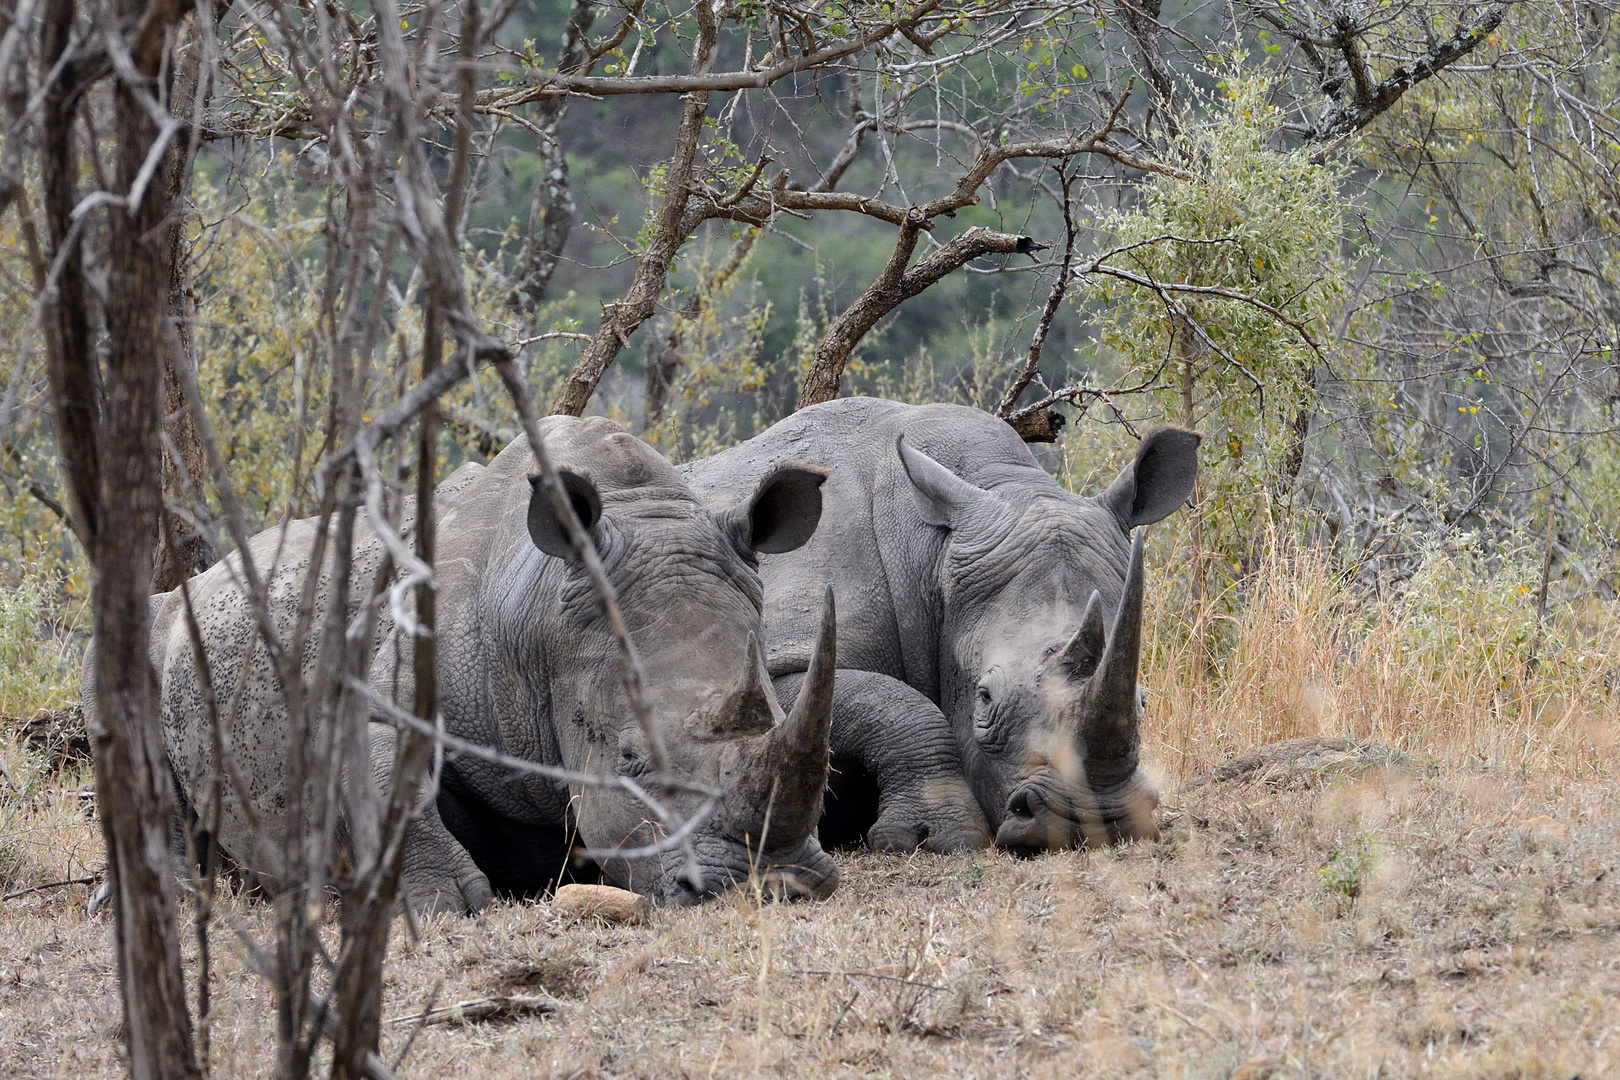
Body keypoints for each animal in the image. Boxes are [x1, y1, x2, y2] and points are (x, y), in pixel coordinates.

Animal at [123, 417, 848, 913]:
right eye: (630, 759)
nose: (774, 882)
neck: (539, 619)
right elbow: (391, 770)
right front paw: (448, 903)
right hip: (168, 619)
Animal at [677, 396, 1198, 854]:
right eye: (984, 698)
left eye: (1144, 702)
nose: (1093, 819)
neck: (934, 556)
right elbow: (891, 703)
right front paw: (933, 837)